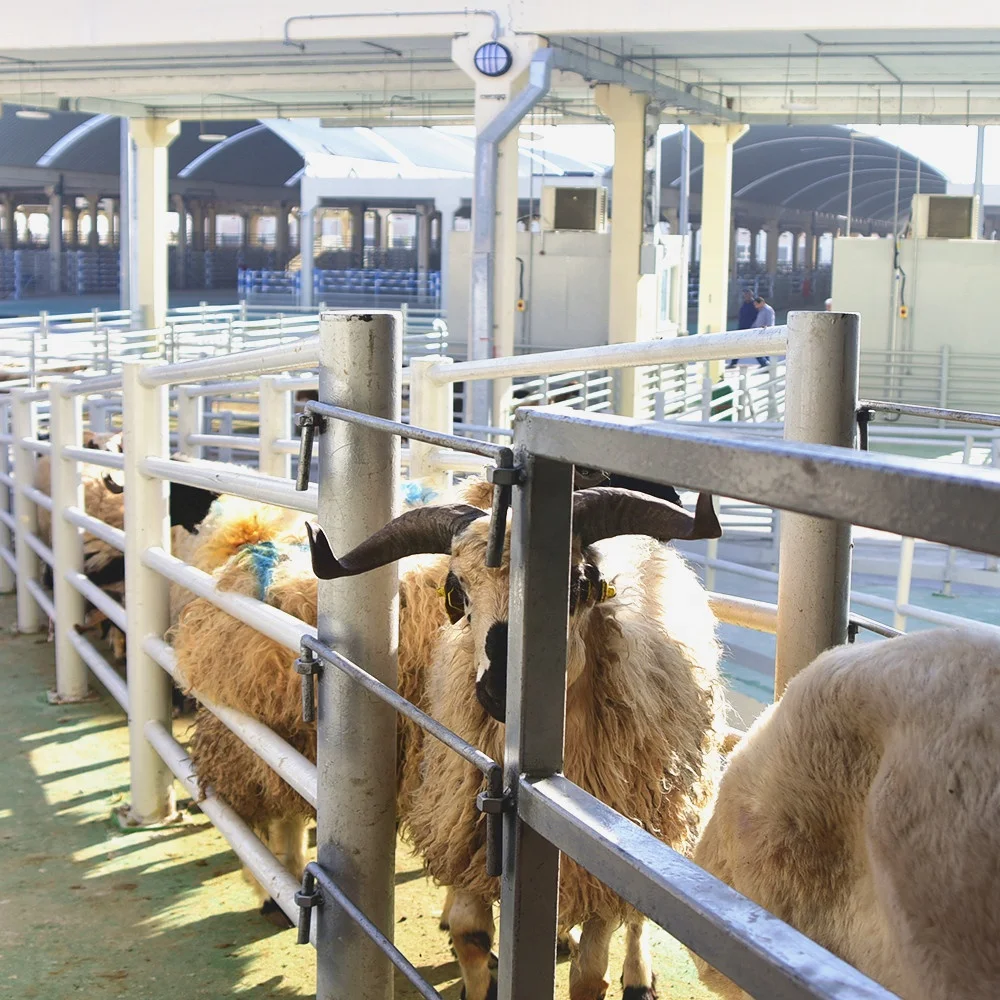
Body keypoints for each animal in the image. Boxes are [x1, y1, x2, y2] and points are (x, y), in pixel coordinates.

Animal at [306, 486, 728, 1000]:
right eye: (458, 590)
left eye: (577, 584)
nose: (501, 690)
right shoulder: (473, 836)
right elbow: (471, 934)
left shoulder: (602, 862)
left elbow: (590, 975)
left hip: (662, 814)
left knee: (637, 916)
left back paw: (638, 977)